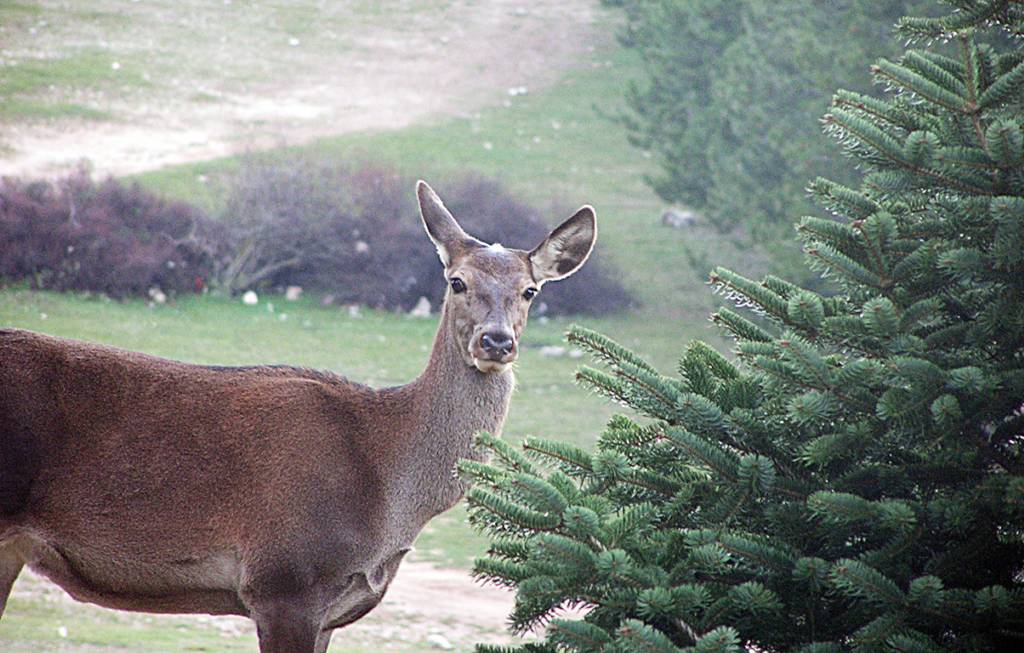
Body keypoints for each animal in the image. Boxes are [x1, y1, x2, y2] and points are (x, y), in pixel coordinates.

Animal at [0, 183, 598, 653]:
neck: (388, 490)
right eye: (457, 282)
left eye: (530, 290)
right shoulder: (284, 582)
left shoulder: (327, 609)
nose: (496, 341)